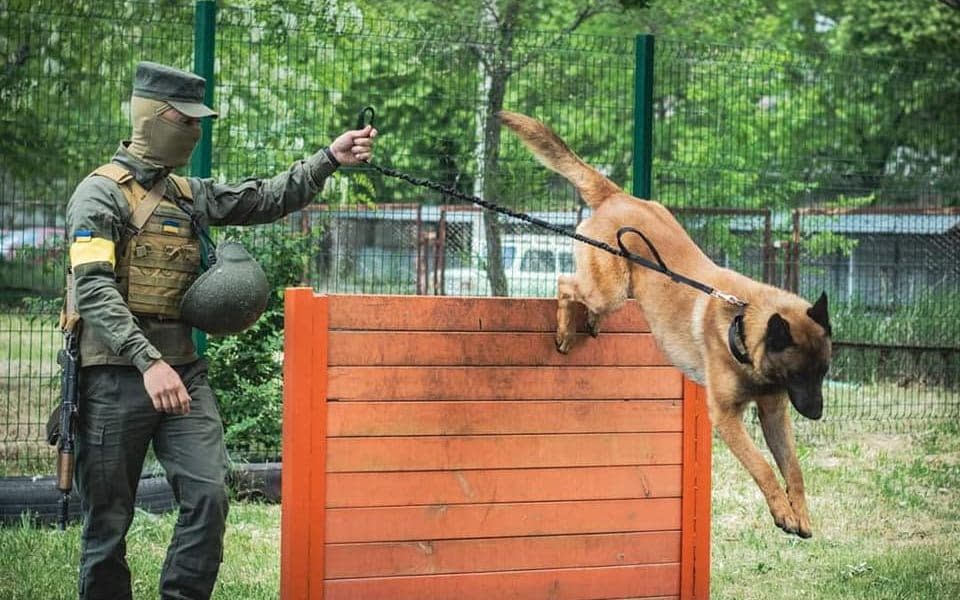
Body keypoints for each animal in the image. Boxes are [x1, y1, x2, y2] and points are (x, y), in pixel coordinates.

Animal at [498, 111, 828, 540]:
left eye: (823, 372)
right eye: (800, 373)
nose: (818, 413)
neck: (741, 325)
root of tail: (617, 196)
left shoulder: (774, 413)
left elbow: (793, 467)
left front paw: (799, 513)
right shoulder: (725, 417)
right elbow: (762, 466)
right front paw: (783, 513)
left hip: (623, 288)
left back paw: (591, 323)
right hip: (609, 288)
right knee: (566, 284)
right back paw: (566, 331)